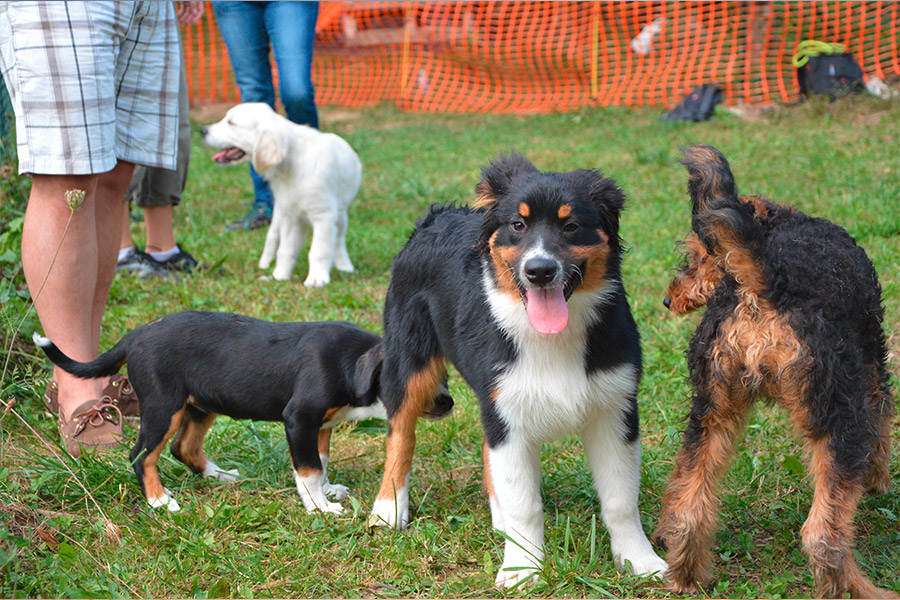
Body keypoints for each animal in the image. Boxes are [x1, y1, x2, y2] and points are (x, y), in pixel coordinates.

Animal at [31, 312, 454, 512]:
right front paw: (319, 506)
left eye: (444, 376)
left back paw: (218, 475)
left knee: (183, 448)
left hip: (200, 404)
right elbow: (308, 469)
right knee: (141, 455)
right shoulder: (299, 418)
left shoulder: (321, 425)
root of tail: (135, 335)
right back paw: (159, 500)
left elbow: (321, 462)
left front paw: (328, 491)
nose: (449, 402)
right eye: (417, 383)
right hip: (163, 406)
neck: (349, 364)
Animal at [202, 102, 360, 286]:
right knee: (272, 237)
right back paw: (265, 264)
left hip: (340, 214)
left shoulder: (324, 215)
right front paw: (280, 275)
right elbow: (285, 250)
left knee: (339, 239)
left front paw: (316, 279)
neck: (291, 167)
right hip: (281, 212)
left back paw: (344, 266)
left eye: (231, 122)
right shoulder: (290, 216)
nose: (203, 130)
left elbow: (318, 250)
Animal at [368, 152, 668, 588]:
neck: (551, 337)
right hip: (409, 361)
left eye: (571, 225)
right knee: (400, 434)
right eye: (518, 225)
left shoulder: (615, 409)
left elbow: (620, 499)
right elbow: (525, 502)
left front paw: (638, 560)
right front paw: (524, 569)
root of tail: (437, 215)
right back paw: (388, 508)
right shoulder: (507, 412)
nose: (540, 270)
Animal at [652, 145, 896, 600]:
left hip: (711, 411)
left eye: (699, 255)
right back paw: (863, 590)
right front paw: (878, 481)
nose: (667, 299)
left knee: (689, 509)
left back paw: (686, 576)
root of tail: (759, 288)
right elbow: (883, 428)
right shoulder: (874, 365)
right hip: (839, 415)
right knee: (823, 535)